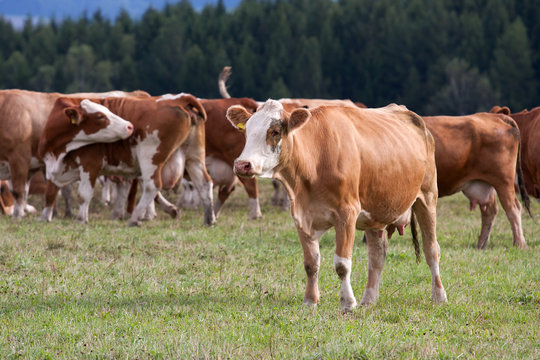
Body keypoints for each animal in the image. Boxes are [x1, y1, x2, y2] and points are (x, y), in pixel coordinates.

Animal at [0, 88, 150, 218]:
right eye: (100, 116)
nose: (129, 126)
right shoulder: (33, 166)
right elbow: (27, 191)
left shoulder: (19, 158)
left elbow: (18, 191)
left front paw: (18, 216)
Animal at [39, 94, 216, 226]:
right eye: (100, 115)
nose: (130, 126)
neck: (58, 149)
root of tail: (180, 99)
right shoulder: (51, 168)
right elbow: (50, 193)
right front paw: (44, 217)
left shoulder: (90, 164)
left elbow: (84, 194)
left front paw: (81, 219)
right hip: (194, 157)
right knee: (204, 183)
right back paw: (209, 219)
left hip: (150, 157)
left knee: (152, 186)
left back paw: (135, 218)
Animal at [226, 100, 446, 312]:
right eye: (246, 131)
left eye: (274, 132)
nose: (242, 164)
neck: (315, 162)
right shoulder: (301, 216)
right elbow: (311, 263)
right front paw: (310, 301)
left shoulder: (347, 214)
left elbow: (342, 264)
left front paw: (347, 303)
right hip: (376, 211)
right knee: (377, 256)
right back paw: (369, 299)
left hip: (427, 197)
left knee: (431, 249)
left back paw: (439, 295)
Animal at [422, 114, 528, 249]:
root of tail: (494, 116)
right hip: (483, 183)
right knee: (490, 210)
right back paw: (482, 244)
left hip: (503, 181)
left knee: (513, 209)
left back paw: (519, 243)